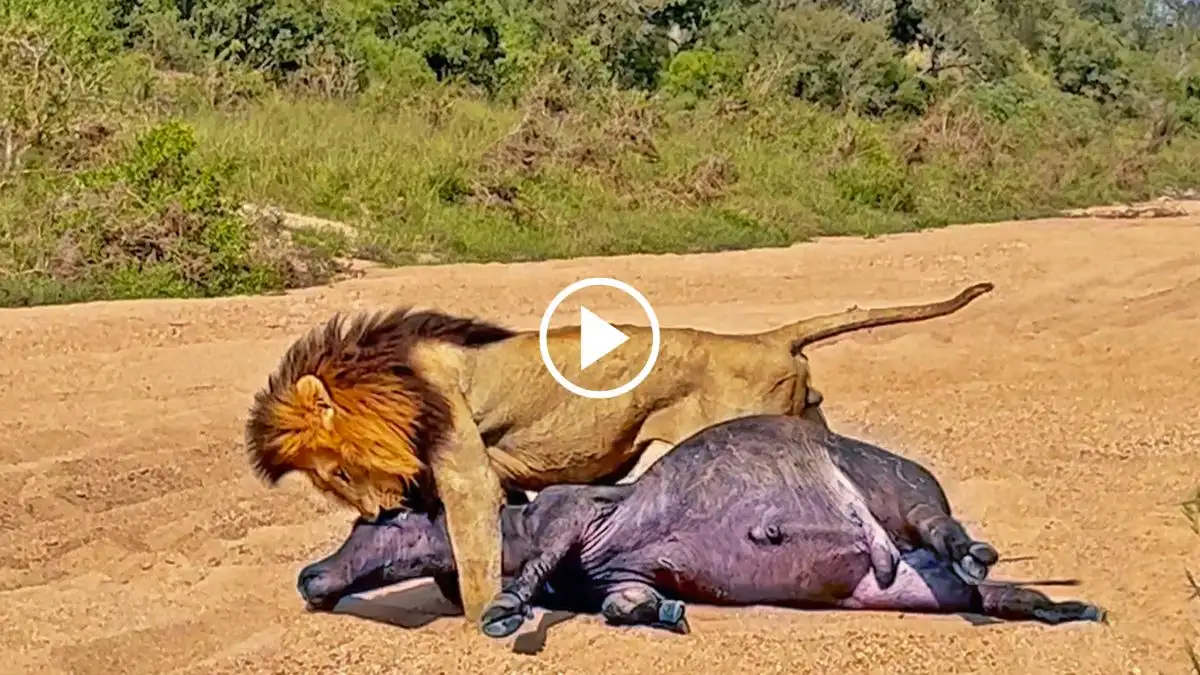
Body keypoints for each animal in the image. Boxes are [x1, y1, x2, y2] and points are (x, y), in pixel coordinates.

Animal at [243, 279, 993, 624]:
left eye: (339, 471)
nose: (378, 510)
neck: (389, 377)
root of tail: (765, 338)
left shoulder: (463, 466)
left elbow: (478, 552)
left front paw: (485, 614)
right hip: (806, 413)